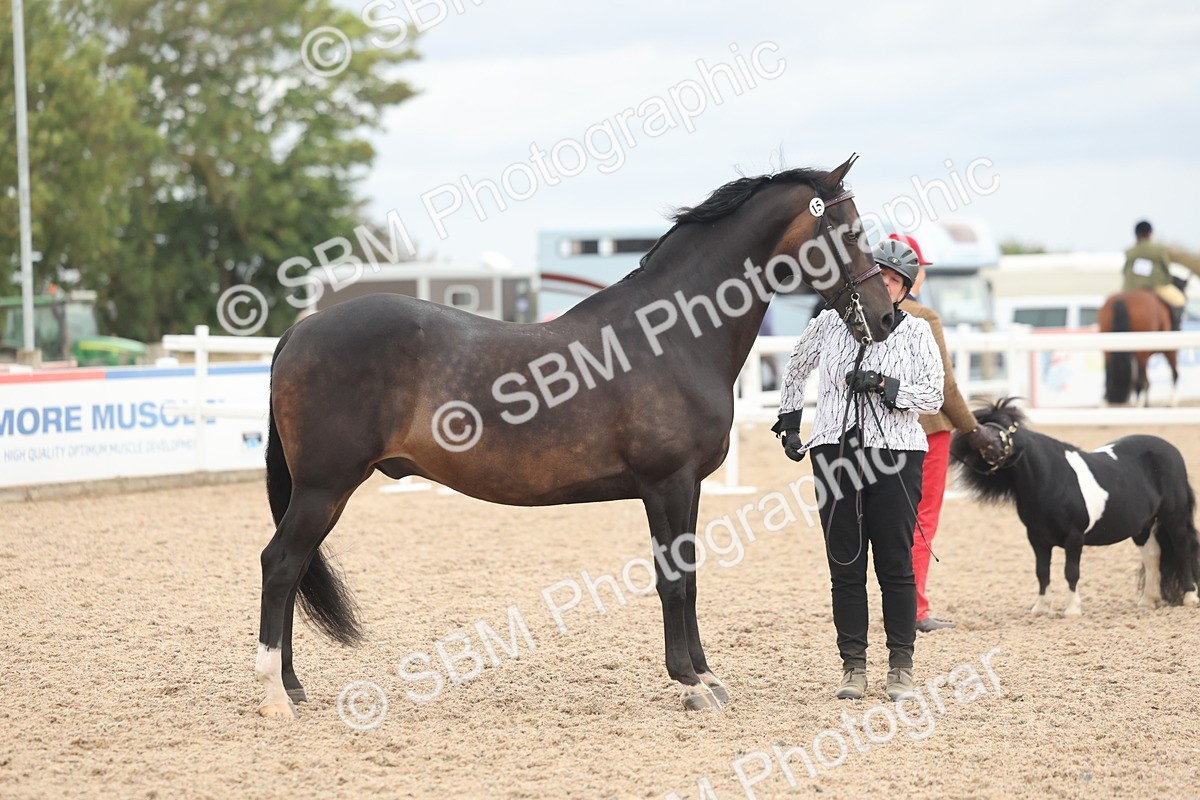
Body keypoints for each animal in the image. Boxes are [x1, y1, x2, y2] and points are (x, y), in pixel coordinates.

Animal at [255, 156, 898, 718]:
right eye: (848, 229)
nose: (887, 316)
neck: (671, 337)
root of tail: (299, 332)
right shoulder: (666, 483)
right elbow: (672, 581)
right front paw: (689, 683)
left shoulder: (686, 488)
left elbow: (690, 577)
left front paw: (707, 676)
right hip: (324, 487)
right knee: (281, 564)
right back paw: (274, 697)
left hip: (324, 492)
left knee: (293, 568)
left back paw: (293, 686)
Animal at [951, 398, 1200, 617]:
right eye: (982, 423)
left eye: (1007, 424)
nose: (988, 446)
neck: (1051, 481)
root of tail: (1171, 450)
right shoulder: (1037, 539)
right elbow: (1042, 572)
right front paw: (1041, 608)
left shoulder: (1074, 537)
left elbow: (1071, 572)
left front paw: (1072, 610)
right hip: (1142, 526)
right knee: (1152, 555)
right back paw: (1148, 601)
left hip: (1174, 517)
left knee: (1182, 550)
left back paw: (1189, 597)